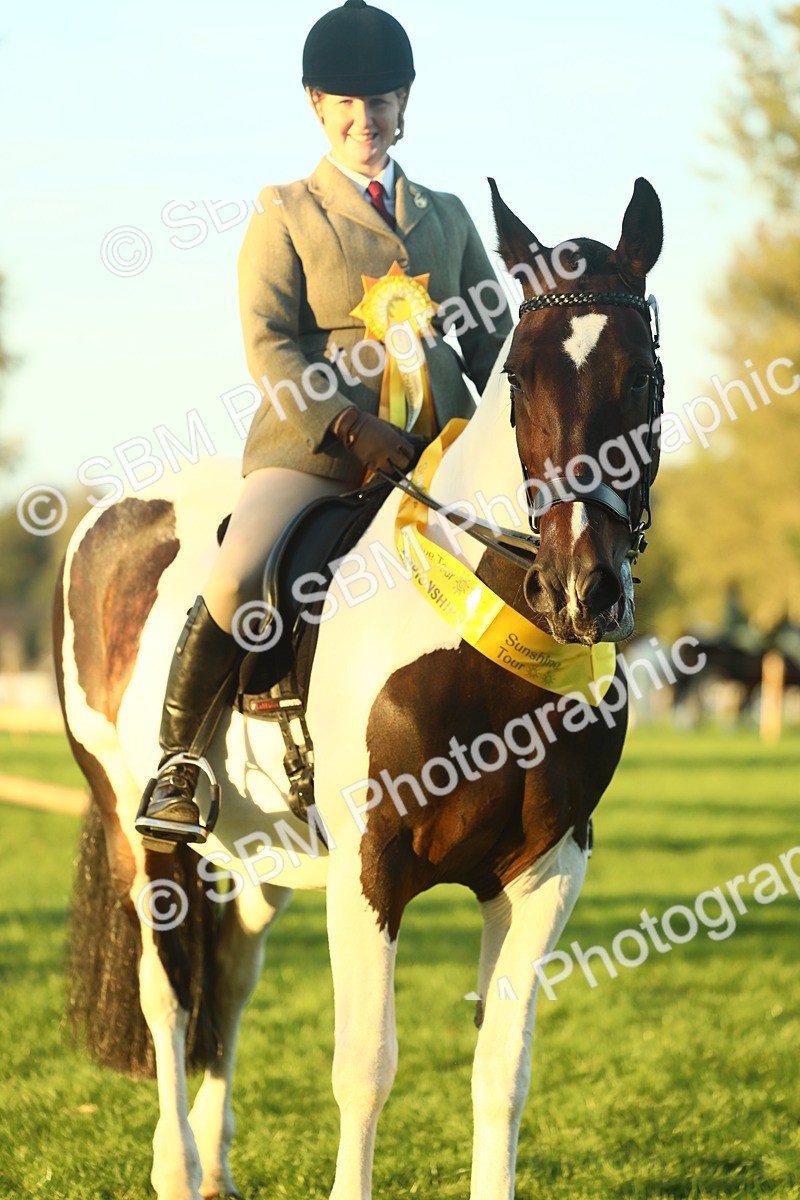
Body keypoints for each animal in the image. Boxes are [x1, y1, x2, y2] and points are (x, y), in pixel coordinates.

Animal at [56, 176, 663, 1200]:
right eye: (519, 378)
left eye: (642, 376)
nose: (585, 590)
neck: (487, 658)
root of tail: (110, 511)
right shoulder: (370, 866)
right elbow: (366, 1068)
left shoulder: (545, 873)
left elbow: (502, 1070)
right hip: (139, 827)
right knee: (168, 991)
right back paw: (177, 1165)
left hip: (263, 853)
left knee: (232, 977)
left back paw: (214, 1163)